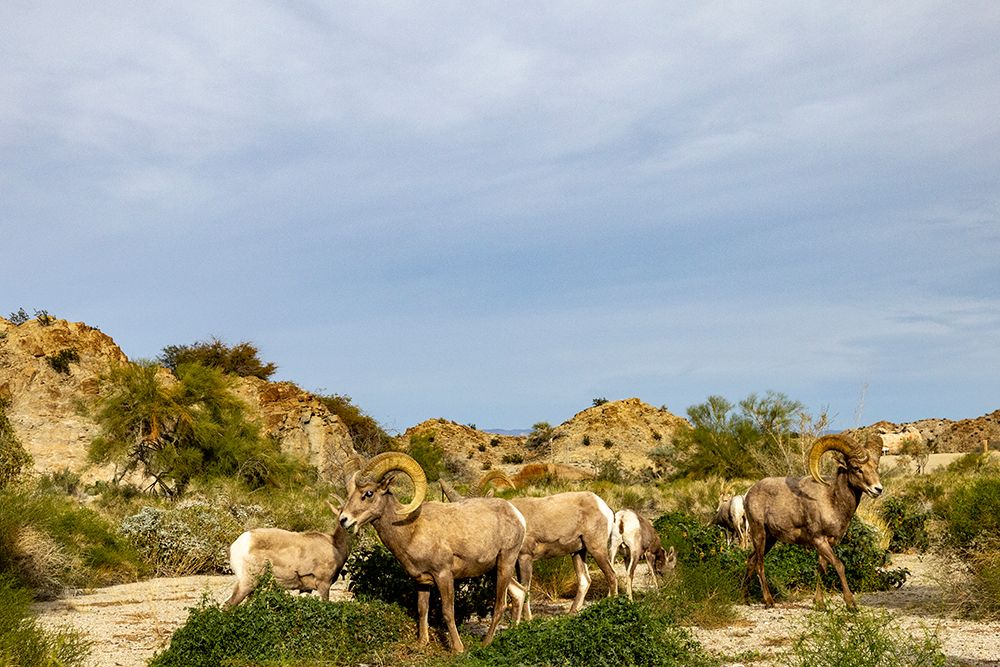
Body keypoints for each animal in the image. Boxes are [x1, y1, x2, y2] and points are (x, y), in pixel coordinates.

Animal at [338, 452, 526, 653]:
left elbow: (447, 612)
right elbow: (422, 609)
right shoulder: (422, 581)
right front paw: (422, 643)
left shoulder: (443, 575)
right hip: (493, 570)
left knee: (501, 605)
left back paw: (485, 644)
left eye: (368, 493)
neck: (411, 529)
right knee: (519, 593)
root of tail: (517, 516)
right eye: (349, 492)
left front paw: (458, 649)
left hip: (505, 562)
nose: (344, 519)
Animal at [743, 433, 884, 609]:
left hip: (770, 539)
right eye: (857, 468)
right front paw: (851, 604)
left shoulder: (827, 543)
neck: (833, 500)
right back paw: (769, 601)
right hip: (759, 534)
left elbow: (821, 569)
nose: (878, 489)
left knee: (751, 561)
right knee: (759, 564)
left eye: (876, 467)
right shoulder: (819, 540)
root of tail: (749, 494)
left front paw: (819, 604)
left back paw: (745, 599)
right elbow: (839, 565)